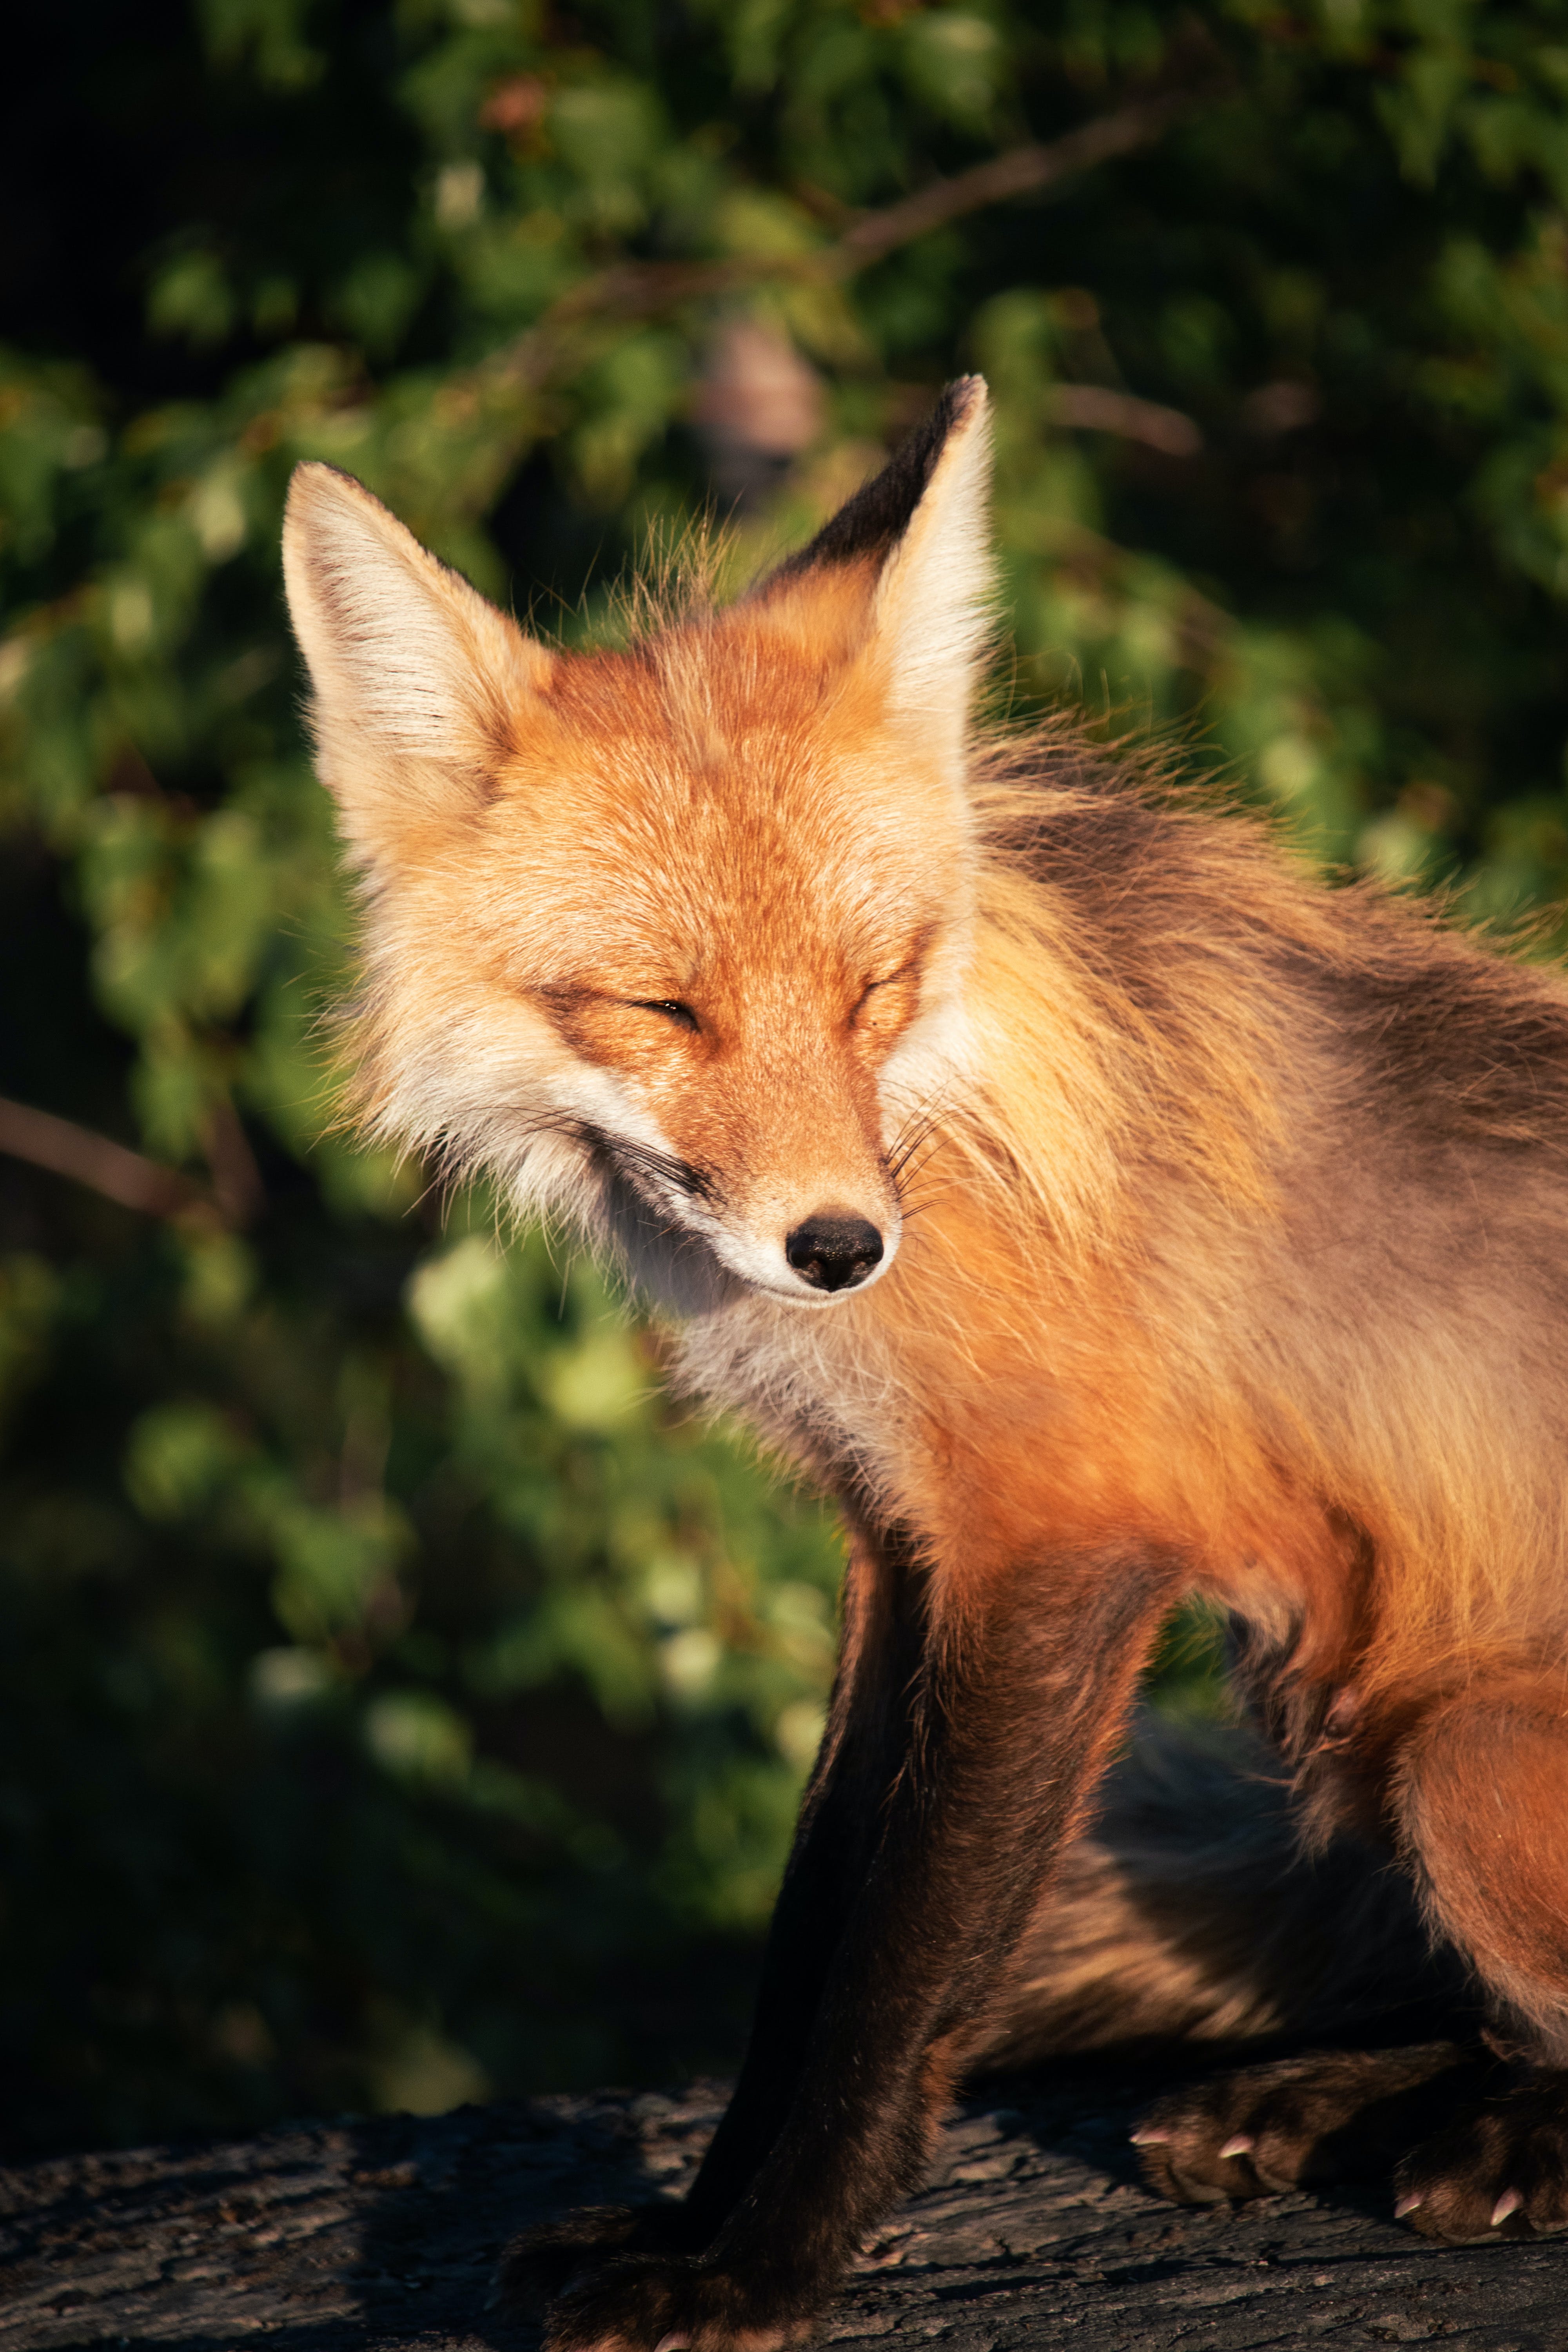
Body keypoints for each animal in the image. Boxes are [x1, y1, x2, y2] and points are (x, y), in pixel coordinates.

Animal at [282, 376, 1568, 2352]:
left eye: (870, 984)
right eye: (660, 1008)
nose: (834, 1248)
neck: (943, 1138)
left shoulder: (1058, 1541)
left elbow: (903, 1967)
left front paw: (759, 2267)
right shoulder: (899, 1547)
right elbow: (808, 1935)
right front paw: (695, 2218)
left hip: (1469, 1757)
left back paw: (1500, 2141)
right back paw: (1301, 2101)